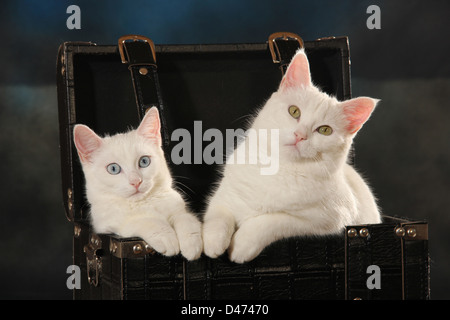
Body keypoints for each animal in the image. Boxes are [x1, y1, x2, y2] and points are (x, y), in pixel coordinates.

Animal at [73, 107, 202, 260]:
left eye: (144, 161)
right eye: (113, 169)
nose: (136, 181)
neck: (144, 202)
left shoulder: (177, 207)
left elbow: (185, 217)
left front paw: (192, 241)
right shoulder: (106, 225)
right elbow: (141, 221)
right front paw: (165, 236)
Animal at [202, 48, 382, 262]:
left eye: (325, 130)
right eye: (294, 111)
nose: (300, 135)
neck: (279, 169)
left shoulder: (327, 220)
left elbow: (272, 221)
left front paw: (241, 245)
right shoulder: (225, 194)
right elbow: (217, 213)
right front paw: (213, 241)